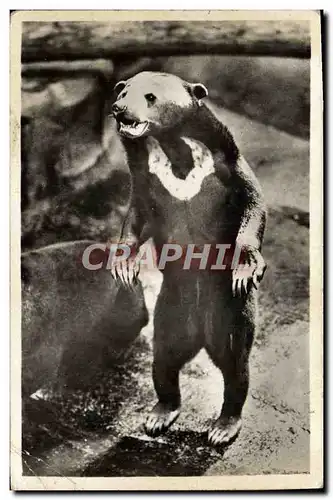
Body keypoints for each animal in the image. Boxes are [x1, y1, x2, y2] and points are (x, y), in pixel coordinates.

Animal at [111, 72, 268, 448]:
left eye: (149, 96)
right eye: (122, 91)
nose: (119, 110)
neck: (171, 145)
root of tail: (199, 335)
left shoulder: (226, 160)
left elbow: (253, 201)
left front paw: (245, 268)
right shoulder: (145, 175)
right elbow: (138, 215)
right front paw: (123, 267)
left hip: (230, 314)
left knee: (235, 366)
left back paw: (222, 427)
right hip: (170, 312)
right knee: (164, 360)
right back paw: (159, 415)